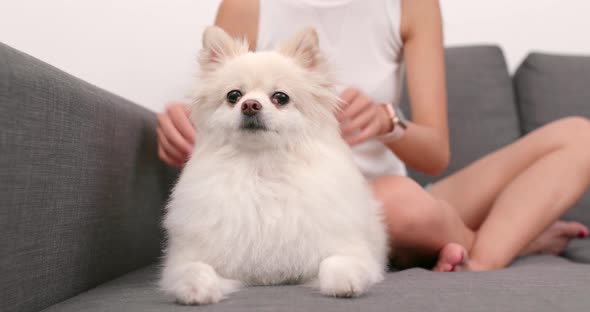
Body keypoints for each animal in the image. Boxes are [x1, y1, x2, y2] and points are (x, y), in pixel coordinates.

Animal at [160, 25, 390, 304]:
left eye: (280, 97)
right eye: (233, 96)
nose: (250, 105)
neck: (263, 168)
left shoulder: (347, 248)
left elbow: (337, 261)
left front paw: (345, 280)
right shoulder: (190, 257)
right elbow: (193, 268)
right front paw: (195, 288)